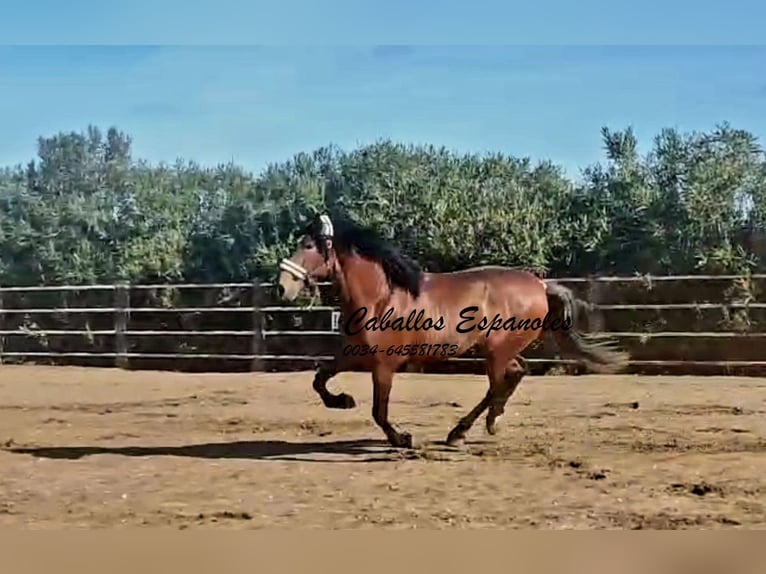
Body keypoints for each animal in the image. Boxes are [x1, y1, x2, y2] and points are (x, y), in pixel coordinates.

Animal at [277, 213, 629, 448]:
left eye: (308, 245)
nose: (281, 287)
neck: (379, 298)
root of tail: (541, 285)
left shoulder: (384, 365)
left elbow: (379, 410)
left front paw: (402, 438)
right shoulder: (354, 355)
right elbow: (319, 379)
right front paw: (344, 400)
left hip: (497, 350)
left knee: (498, 384)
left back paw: (464, 431)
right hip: (500, 349)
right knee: (514, 374)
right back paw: (482, 424)